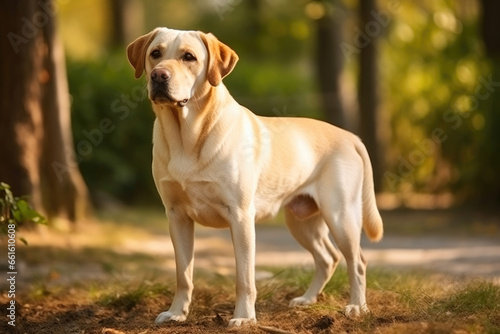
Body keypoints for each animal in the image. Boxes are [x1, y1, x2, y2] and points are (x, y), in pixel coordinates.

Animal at [126, 28, 382, 326]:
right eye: (155, 53)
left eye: (189, 57)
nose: (158, 76)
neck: (186, 136)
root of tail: (351, 136)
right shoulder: (176, 216)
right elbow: (183, 274)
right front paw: (177, 313)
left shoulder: (240, 216)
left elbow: (244, 277)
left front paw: (244, 318)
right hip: (302, 221)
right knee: (328, 258)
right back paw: (307, 299)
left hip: (341, 216)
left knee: (358, 261)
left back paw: (357, 307)